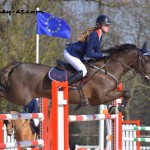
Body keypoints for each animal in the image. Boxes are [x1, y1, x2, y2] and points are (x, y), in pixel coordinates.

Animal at [0, 42, 149, 112]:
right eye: (147, 60)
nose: (148, 78)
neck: (108, 70)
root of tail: (18, 65)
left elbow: (125, 93)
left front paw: (115, 109)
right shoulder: (101, 97)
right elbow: (127, 93)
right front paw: (118, 109)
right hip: (20, 96)